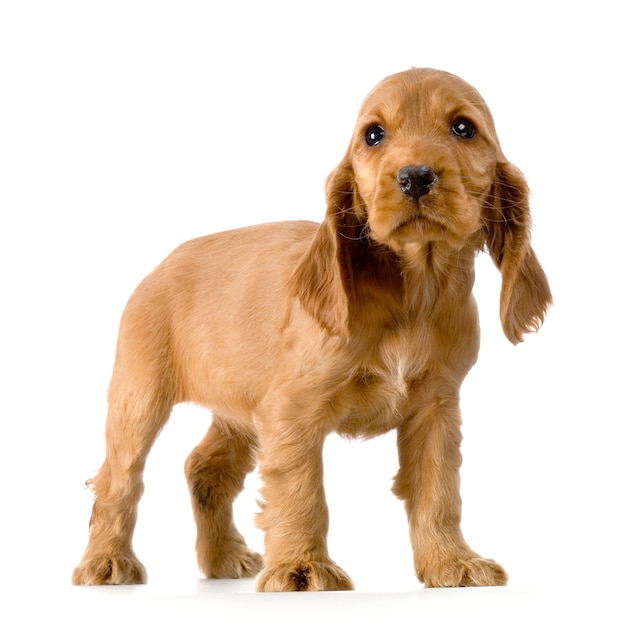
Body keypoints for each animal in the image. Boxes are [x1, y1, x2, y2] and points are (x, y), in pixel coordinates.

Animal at [74, 68, 552, 588]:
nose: (415, 176)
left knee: (204, 469)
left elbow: (439, 491)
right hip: (139, 397)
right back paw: (106, 562)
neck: (414, 289)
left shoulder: (436, 408)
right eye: (374, 135)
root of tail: (161, 263)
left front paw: (451, 562)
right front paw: (302, 567)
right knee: (118, 479)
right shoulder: (291, 410)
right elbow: (302, 490)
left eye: (464, 128)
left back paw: (223, 559)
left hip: (240, 407)